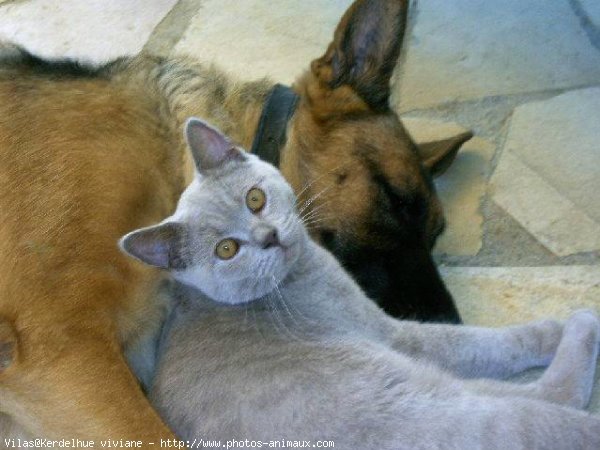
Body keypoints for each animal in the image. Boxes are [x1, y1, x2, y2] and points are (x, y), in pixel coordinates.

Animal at [119, 119, 600, 450]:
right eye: (226, 249)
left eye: (254, 199)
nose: (268, 237)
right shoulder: (392, 332)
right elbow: (482, 342)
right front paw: (551, 329)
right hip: (435, 407)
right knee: (555, 403)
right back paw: (581, 324)